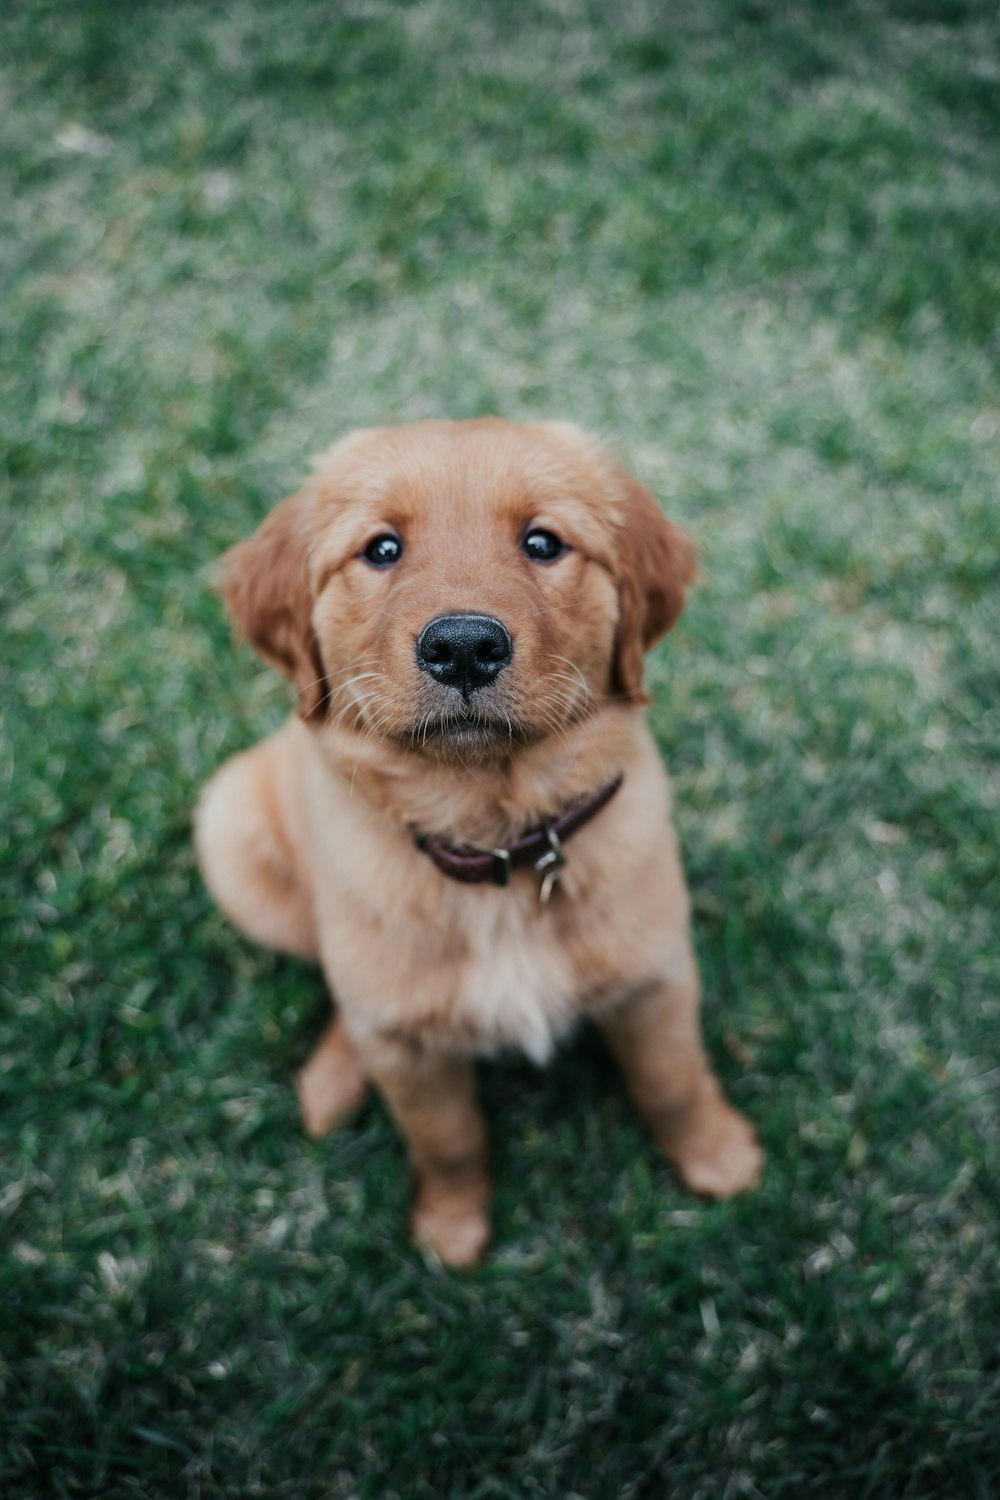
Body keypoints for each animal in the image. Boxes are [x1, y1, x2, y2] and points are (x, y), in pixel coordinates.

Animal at [194, 414, 761, 1266]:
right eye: (382, 549)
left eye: (543, 543)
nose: (463, 646)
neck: (493, 840)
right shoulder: (410, 1054)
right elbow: (447, 1138)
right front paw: (452, 1233)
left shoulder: (655, 976)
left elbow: (673, 1081)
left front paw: (720, 1159)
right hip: (231, 834)